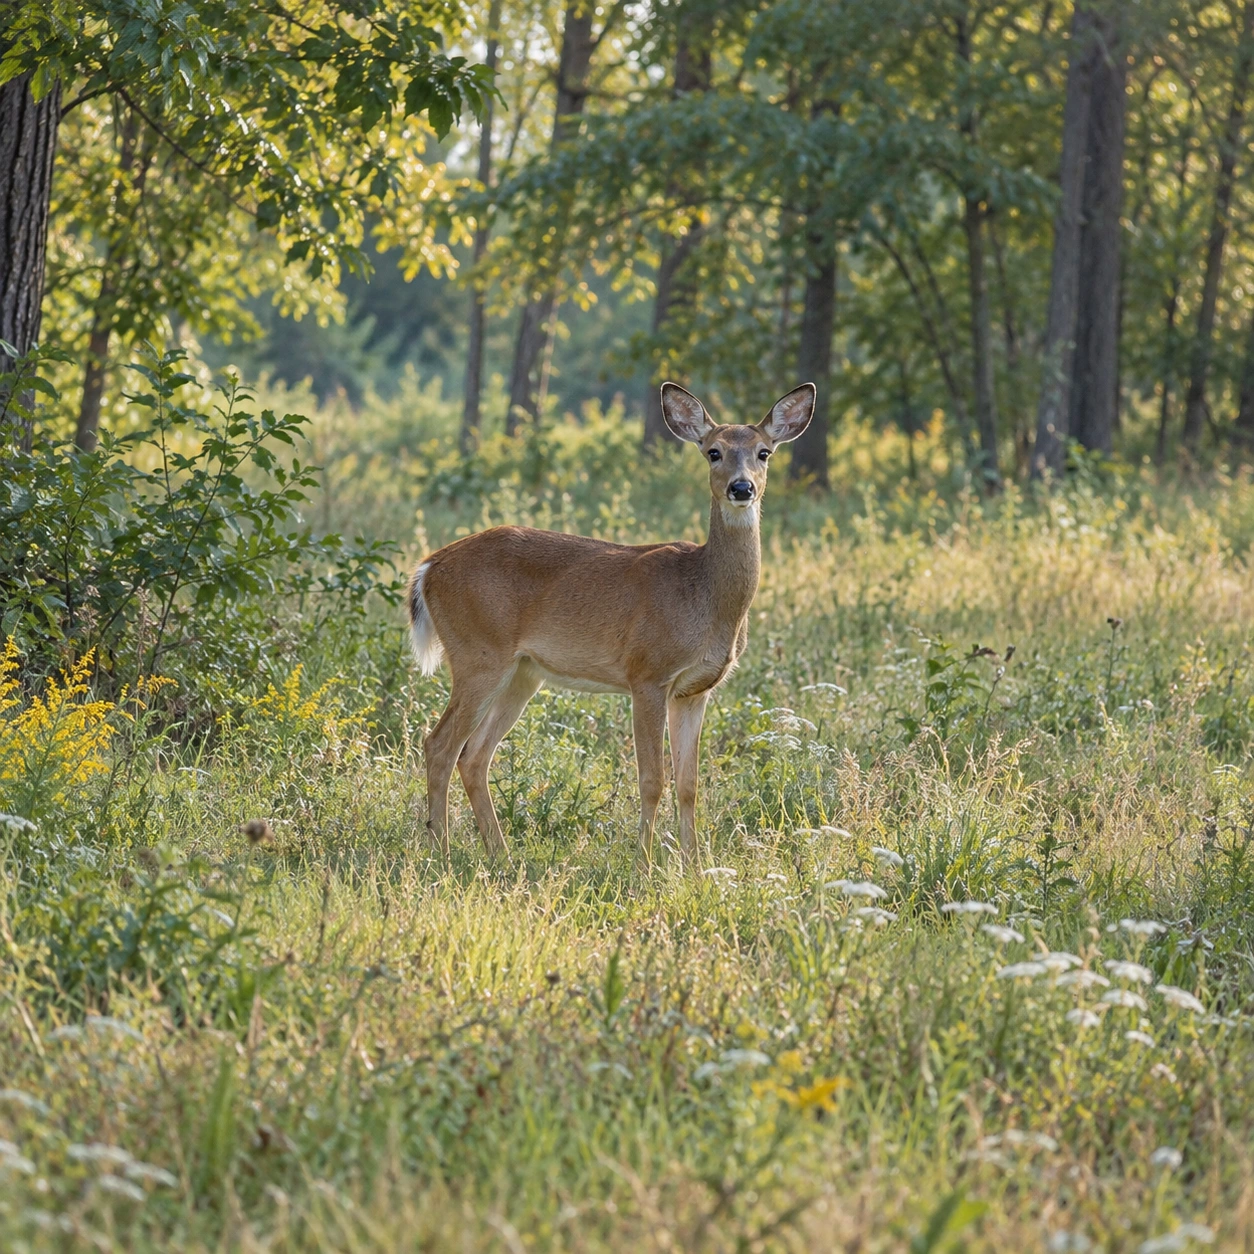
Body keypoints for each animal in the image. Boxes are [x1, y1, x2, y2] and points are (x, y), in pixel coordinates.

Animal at [407, 381, 815, 864]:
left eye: (764, 452)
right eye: (713, 452)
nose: (741, 487)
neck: (705, 595)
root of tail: (428, 568)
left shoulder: (695, 690)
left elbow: (690, 785)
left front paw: (696, 866)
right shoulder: (648, 673)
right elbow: (653, 780)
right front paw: (645, 865)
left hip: (523, 672)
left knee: (474, 756)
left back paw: (501, 856)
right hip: (478, 654)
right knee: (440, 745)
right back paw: (440, 853)